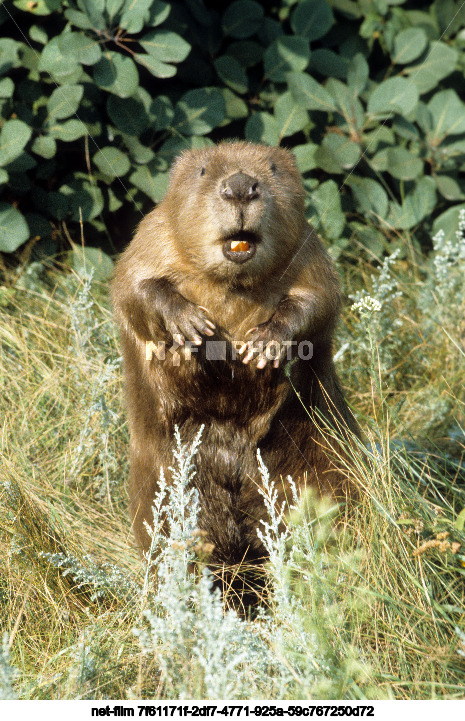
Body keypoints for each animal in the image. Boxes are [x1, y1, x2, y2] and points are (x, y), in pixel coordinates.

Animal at [112, 139, 358, 580]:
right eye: (203, 171)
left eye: (274, 169)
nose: (241, 186)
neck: (233, 284)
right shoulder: (152, 236)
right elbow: (135, 286)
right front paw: (194, 328)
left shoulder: (310, 251)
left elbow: (318, 300)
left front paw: (264, 345)